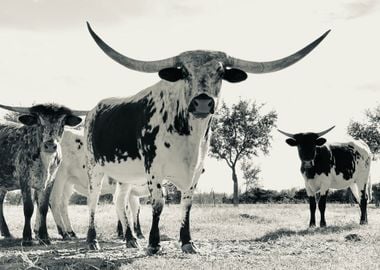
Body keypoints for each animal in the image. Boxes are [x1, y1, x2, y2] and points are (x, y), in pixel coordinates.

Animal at [0, 103, 84, 245]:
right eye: (39, 122)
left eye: (62, 123)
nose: (50, 145)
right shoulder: (25, 179)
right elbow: (28, 208)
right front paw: (27, 238)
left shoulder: (49, 181)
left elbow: (43, 208)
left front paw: (44, 237)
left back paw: (7, 233)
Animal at [84, 22, 332, 254]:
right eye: (184, 71)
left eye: (221, 72)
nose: (202, 102)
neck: (188, 135)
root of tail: (93, 110)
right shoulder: (154, 170)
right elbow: (158, 204)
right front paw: (154, 244)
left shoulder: (196, 170)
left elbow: (187, 205)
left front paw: (187, 242)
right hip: (94, 168)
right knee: (93, 200)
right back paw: (92, 240)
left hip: (125, 175)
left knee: (120, 202)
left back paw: (130, 239)